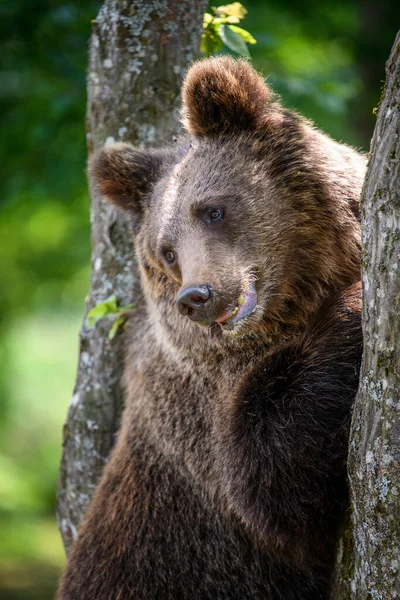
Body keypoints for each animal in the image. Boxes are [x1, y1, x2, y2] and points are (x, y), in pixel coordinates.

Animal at [56, 57, 366, 600]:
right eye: (167, 251)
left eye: (213, 209)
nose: (195, 297)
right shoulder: (199, 416)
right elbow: (274, 481)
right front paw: (355, 302)